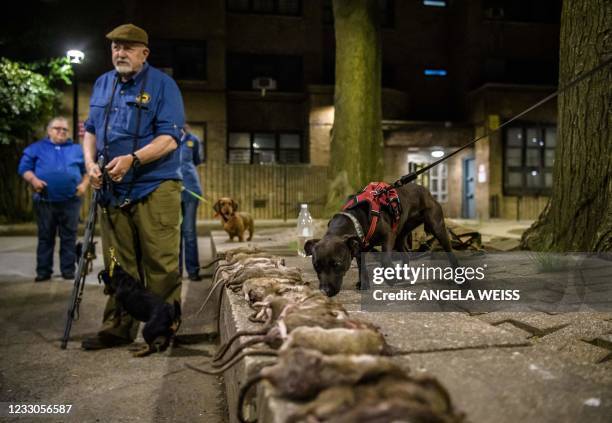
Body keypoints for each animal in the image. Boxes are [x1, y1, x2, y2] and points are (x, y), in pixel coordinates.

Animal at [304, 183, 456, 298]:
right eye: (316, 266)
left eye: (336, 264)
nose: (324, 291)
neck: (355, 217)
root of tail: (425, 190)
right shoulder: (359, 247)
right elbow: (362, 266)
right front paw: (364, 283)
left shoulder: (387, 236)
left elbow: (384, 259)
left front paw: (390, 278)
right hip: (399, 237)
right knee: (406, 254)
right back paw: (401, 276)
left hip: (436, 227)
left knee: (449, 251)